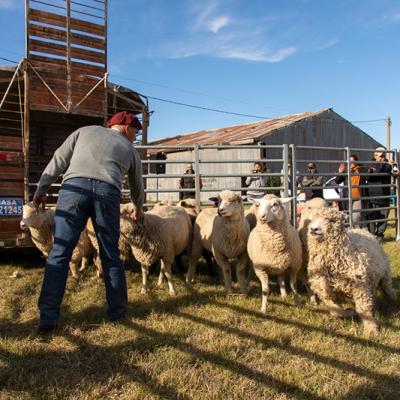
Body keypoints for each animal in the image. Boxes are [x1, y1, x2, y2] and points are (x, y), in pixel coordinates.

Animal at [306, 206, 396, 334]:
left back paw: (394, 302)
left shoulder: (359, 286)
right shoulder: (324, 289)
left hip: (385, 275)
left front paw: (371, 330)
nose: (314, 229)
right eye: (312, 219)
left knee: (389, 290)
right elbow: (334, 310)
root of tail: (364, 230)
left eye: (332, 220)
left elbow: (363, 308)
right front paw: (349, 312)